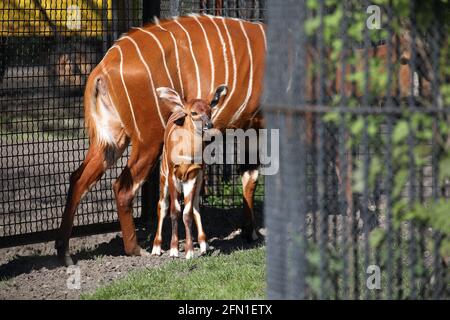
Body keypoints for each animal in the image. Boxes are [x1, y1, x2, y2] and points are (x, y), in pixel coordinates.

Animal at [152, 85, 229, 260]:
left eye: (210, 110)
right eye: (194, 113)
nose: (208, 124)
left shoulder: (193, 176)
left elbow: (187, 213)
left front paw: (190, 252)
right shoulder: (173, 175)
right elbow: (174, 211)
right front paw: (174, 251)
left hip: (199, 179)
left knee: (194, 207)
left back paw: (204, 245)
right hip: (163, 175)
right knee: (162, 205)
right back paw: (156, 248)